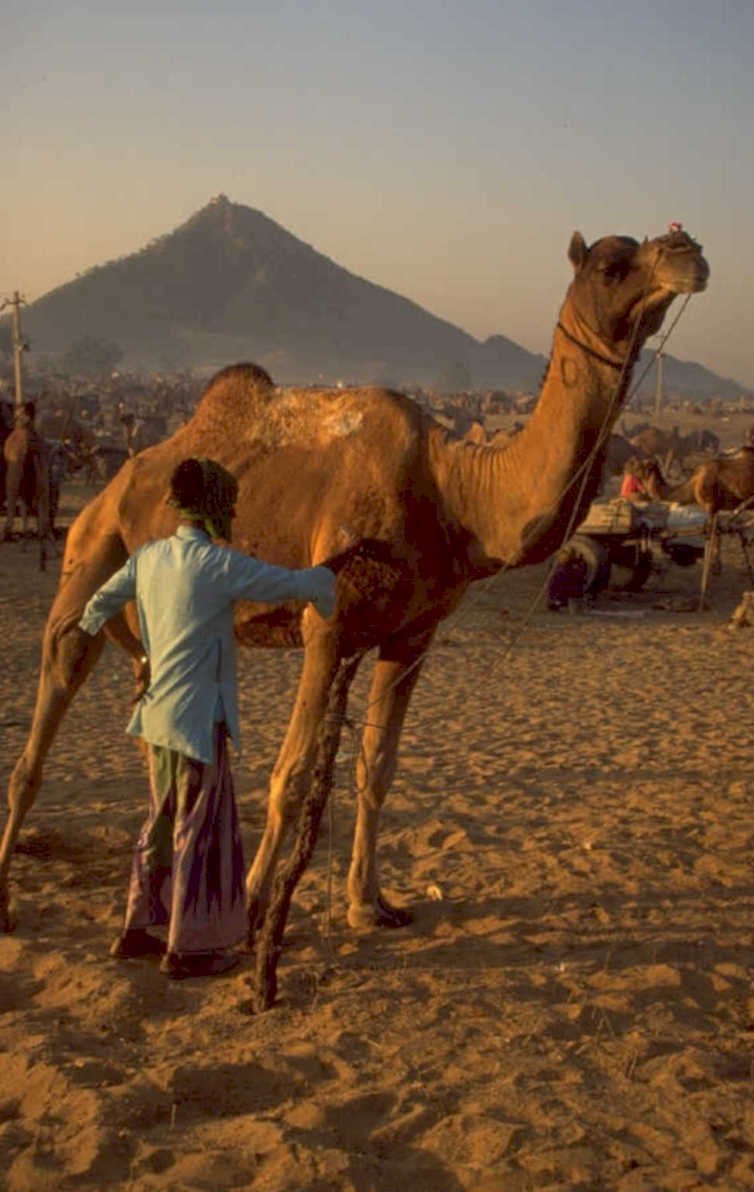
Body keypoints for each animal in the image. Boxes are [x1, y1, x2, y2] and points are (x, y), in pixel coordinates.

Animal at [0, 227, 709, 938]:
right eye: (613, 264)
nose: (687, 251)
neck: (453, 491)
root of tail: (119, 481)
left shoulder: (413, 635)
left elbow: (378, 768)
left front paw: (368, 902)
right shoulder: (329, 626)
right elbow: (291, 775)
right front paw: (252, 908)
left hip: (162, 628)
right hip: (90, 557)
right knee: (44, 722)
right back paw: (16, 890)